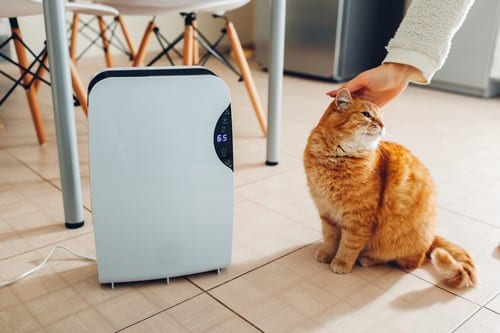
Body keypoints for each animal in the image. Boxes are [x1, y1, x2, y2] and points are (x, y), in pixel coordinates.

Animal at [302, 88, 478, 288]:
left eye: (380, 117)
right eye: (366, 114)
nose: (382, 124)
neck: (337, 159)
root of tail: (432, 235)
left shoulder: (358, 219)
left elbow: (349, 244)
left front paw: (341, 262)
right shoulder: (326, 212)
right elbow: (330, 237)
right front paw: (326, 253)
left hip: (402, 244)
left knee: (410, 261)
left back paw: (368, 259)